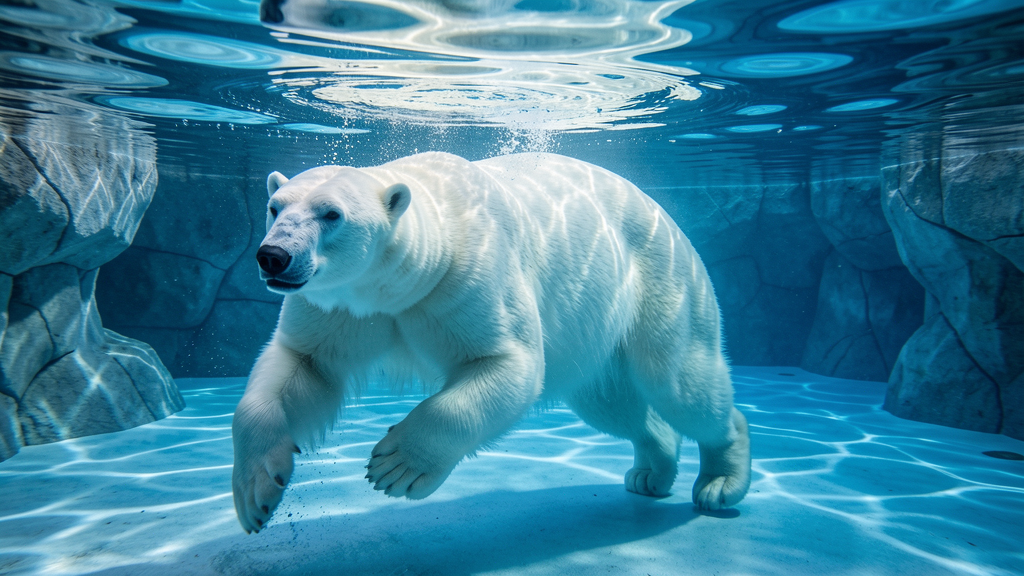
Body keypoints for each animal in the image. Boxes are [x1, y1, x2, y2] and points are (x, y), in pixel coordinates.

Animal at [231, 152, 751, 533]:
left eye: (331, 214)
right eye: (275, 206)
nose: (273, 255)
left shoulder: (464, 276)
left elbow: (507, 361)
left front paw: (398, 465)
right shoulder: (340, 308)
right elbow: (301, 366)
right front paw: (256, 491)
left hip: (662, 284)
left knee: (681, 384)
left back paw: (720, 481)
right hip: (594, 336)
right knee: (611, 401)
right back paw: (650, 473)